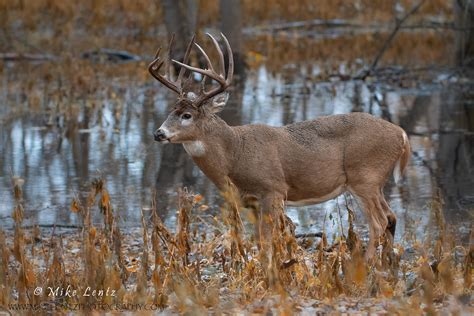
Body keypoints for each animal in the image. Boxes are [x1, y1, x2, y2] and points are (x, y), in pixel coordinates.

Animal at [149, 34, 412, 260]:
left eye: (187, 115)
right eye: (171, 111)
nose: (158, 133)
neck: (235, 153)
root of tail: (401, 134)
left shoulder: (273, 189)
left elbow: (269, 239)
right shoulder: (250, 201)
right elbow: (265, 238)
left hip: (364, 177)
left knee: (378, 222)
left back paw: (366, 266)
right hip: (375, 182)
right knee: (391, 217)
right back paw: (388, 264)